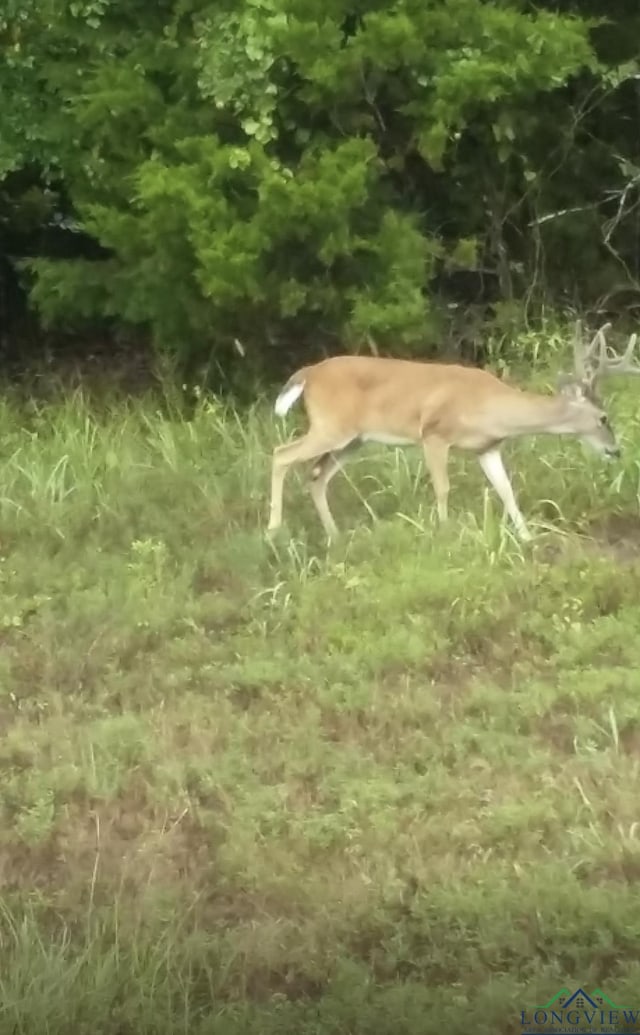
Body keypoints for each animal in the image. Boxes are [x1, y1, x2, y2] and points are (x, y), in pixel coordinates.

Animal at [265, 324, 637, 542]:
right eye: (603, 418)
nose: (616, 451)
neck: (492, 407)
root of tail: (308, 373)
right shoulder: (434, 433)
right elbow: (443, 488)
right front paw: (444, 533)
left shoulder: (487, 448)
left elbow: (506, 490)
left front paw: (527, 538)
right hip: (331, 426)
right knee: (281, 454)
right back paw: (273, 529)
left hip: (353, 439)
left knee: (316, 476)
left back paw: (335, 536)